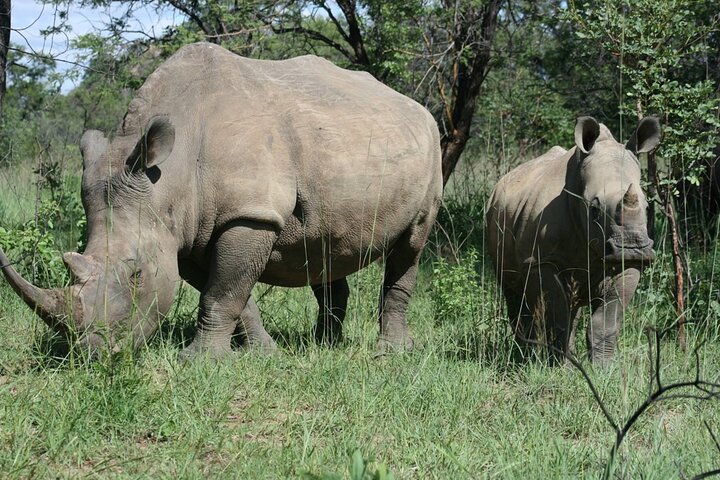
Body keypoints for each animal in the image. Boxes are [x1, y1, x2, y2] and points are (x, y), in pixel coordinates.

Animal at [0, 42, 442, 359]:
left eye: (137, 274)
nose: (94, 353)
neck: (168, 177)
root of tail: (415, 105)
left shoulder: (248, 214)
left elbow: (223, 291)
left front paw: (199, 361)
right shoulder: (187, 231)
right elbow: (230, 293)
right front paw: (265, 354)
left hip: (432, 146)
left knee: (411, 244)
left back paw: (391, 353)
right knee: (327, 246)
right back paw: (323, 346)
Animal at [486, 116, 660, 366]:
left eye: (647, 207)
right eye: (594, 208)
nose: (632, 249)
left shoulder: (628, 266)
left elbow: (606, 321)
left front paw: (602, 367)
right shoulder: (542, 261)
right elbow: (557, 315)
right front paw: (562, 368)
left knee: (572, 305)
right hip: (495, 215)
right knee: (516, 295)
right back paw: (524, 358)